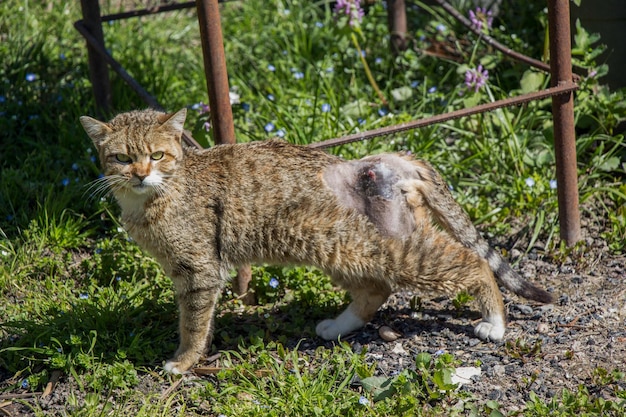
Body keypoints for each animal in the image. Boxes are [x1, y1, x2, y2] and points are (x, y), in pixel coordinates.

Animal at [79, 107, 552, 374]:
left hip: (389, 249)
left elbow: (192, 325)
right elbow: (201, 320)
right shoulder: (193, 273)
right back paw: (338, 326)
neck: (158, 195)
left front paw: (183, 361)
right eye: (121, 157)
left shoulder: (198, 271)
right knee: (376, 290)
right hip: (343, 250)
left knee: (473, 262)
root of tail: (389, 158)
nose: (140, 173)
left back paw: (495, 321)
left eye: (157, 155)